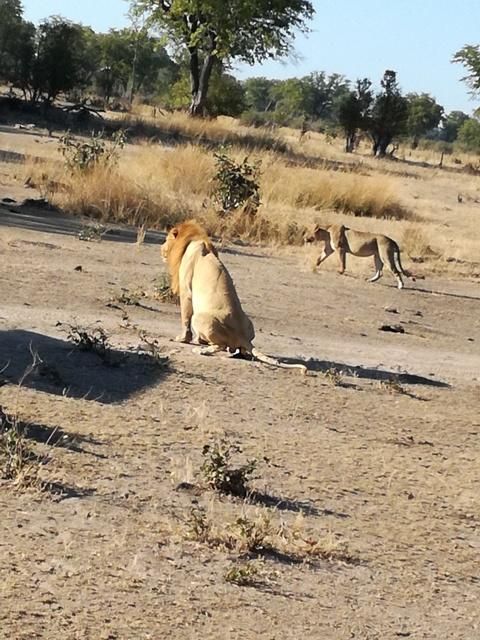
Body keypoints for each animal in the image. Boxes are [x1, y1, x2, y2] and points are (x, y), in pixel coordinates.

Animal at [161, 220, 307, 372]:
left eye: (166, 239)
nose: (161, 248)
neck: (196, 239)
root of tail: (241, 336)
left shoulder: (186, 291)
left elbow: (185, 317)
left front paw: (183, 339)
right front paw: (199, 340)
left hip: (199, 317)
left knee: (221, 345)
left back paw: (201, 350)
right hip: (248, 324)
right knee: (241, 351)